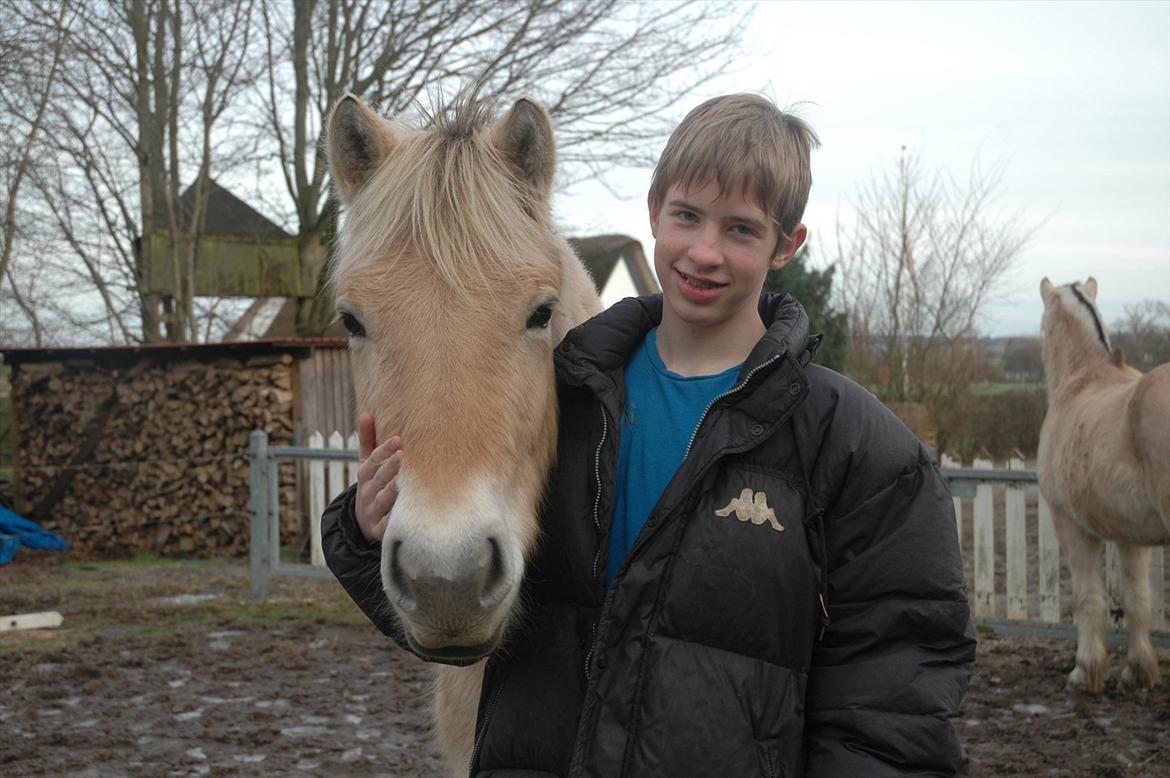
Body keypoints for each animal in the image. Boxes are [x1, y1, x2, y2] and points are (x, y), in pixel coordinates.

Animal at [1038, 277, 1165, 692]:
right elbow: (1137, 599)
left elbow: (1087, 599)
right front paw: (1137, 671)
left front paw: (1085, 670)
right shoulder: (1131, 536)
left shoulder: (1070, 526)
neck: (1083, 376)